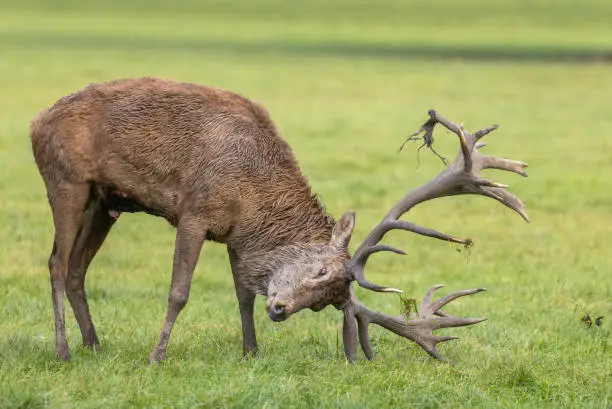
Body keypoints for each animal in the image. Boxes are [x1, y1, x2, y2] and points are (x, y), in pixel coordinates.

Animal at [29, 78, 524, 362]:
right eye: (321, 271)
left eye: (325, 303)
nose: (282, 310)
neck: (253, 199)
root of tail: (35, 122)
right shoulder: (195, 211)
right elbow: (179, 292)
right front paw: (156, 356)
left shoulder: (234, 237)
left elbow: (243, 295)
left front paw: (251, 351)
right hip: (66, 179)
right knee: (55, 263)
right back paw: (63, 350)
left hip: (105, 202)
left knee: (76, 269)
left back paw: (94, 344)